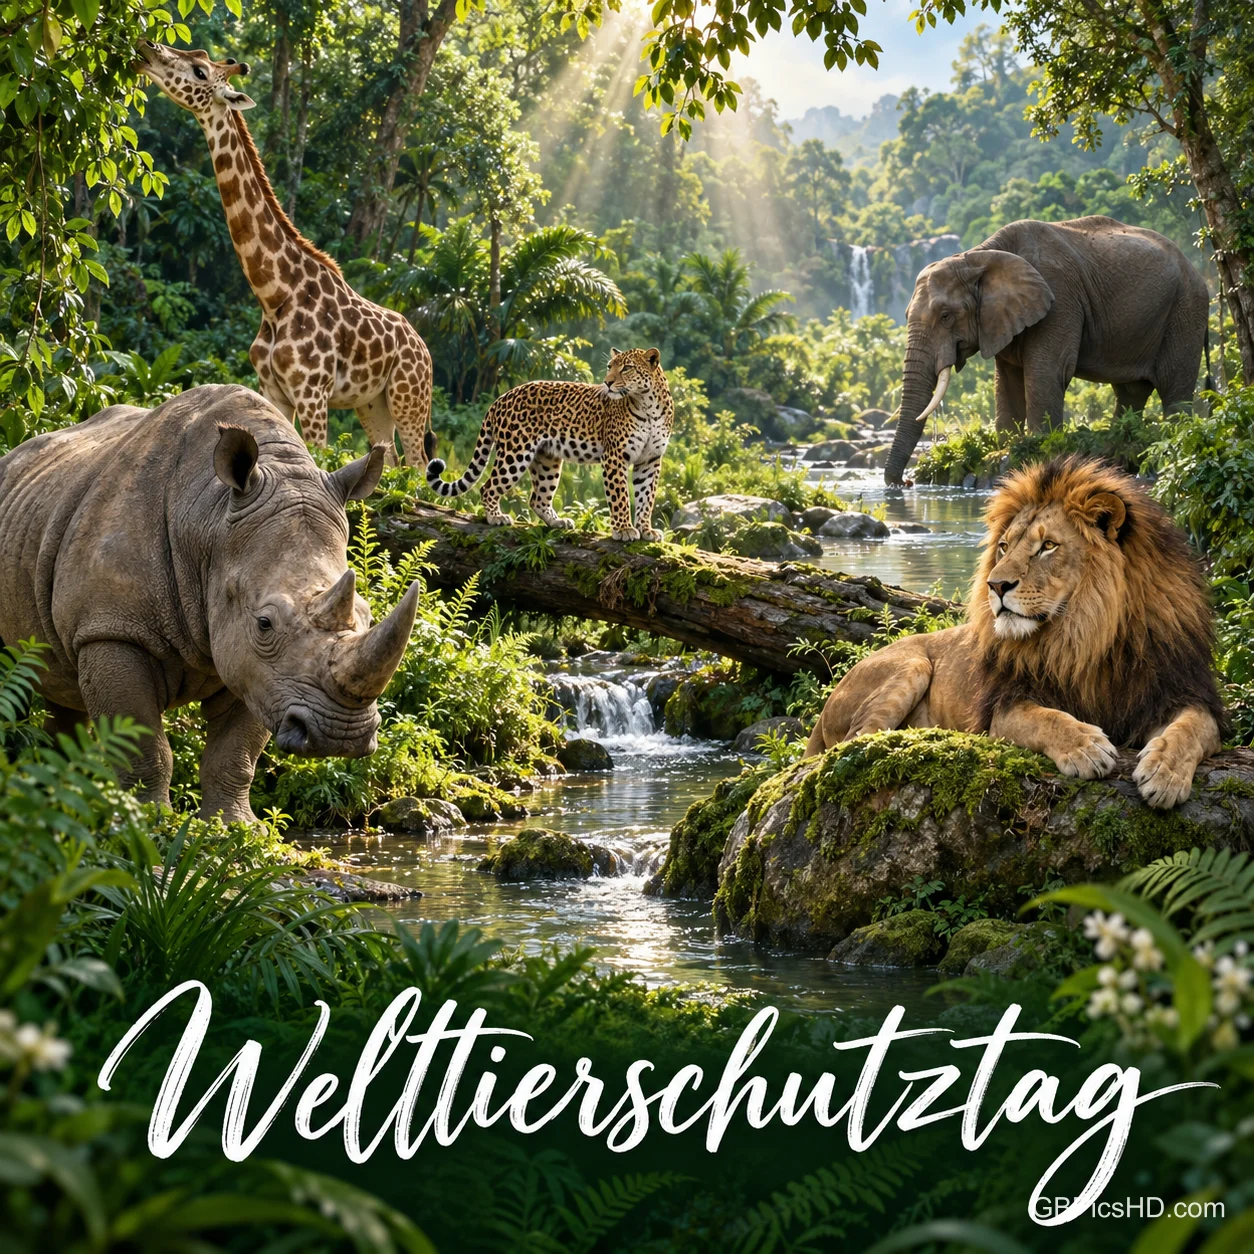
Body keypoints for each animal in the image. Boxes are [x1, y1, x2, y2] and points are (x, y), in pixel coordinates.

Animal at [425, 348, 674, 540]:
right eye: (610, 366)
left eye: (627, 368)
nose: (607, 382)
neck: (648, 405)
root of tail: (501, 397)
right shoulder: (615, 456)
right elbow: (620, 495)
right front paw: (624, 530)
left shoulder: (650, 460)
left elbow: (646, 497)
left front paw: (646, 530)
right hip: (515, 453)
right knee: (488, 487)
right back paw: (496, 517)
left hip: (547, 460)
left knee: (538, 498)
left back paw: (558, 522)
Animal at [805, 456, 1225, 809]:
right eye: (1005, 546)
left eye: (1048, 546)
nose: (996, 585)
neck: (1090, 636)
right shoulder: (1005, 707)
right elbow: (1048, 719)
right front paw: (1087, 747)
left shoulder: (1175, 691)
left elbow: (1193, 728)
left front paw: (1165, 773)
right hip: (910, 665)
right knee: (853, 744)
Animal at [883, 216, 1209, 485]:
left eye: (946, 316)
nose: (904, 482)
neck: (979, 256)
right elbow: (1007, 381)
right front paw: (1006, 449)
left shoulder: (1060, 301)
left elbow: (1047, 372)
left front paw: (1036, 451)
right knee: (1131, 391)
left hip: (1186, 310)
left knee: (1173, 389)